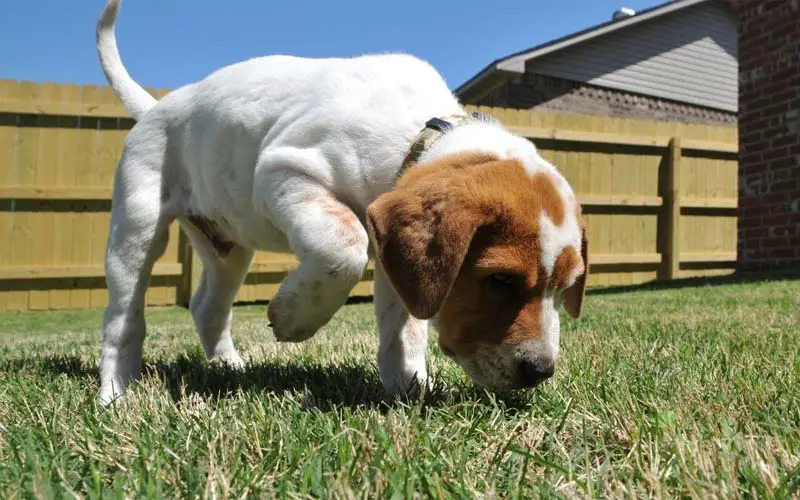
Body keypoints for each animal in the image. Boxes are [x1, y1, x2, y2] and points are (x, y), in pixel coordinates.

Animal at [97, 0, 592, 406]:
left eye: (566, 287)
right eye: (501, 280)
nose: (540, 371)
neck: (415, 133)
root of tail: (155, 108)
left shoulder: (397, 253)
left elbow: (403, 326)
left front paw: (409, 386)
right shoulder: (287, 171)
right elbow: (344, 248)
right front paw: (292, 318)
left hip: (228, 248)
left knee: (207, 307)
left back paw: (228, 369)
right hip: (138, 226)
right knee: (123, 317)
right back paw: (118, 393)